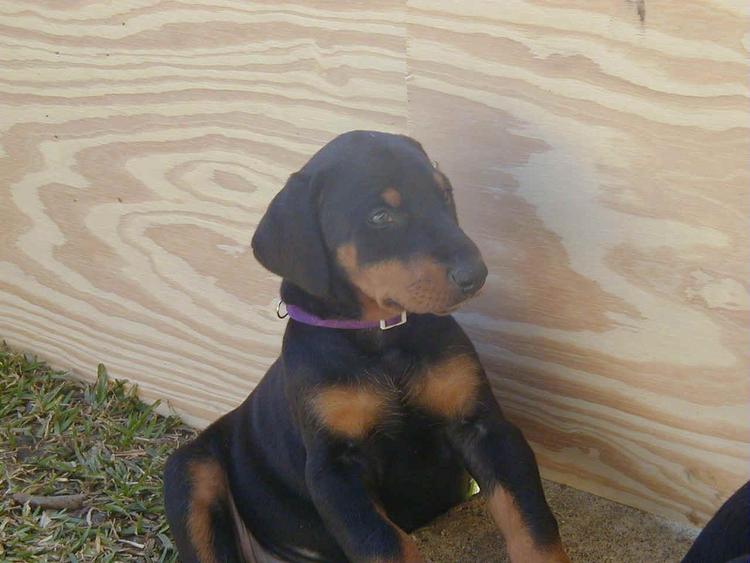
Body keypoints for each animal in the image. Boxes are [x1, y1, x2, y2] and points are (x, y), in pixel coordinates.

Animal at [166, 131, 568, 563]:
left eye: (445, 194)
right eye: (379, 217)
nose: (475, 275)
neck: (383, 340)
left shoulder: (483, 426)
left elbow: (530, 520)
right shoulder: (335, 469)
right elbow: (385, 545)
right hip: (187, 471)